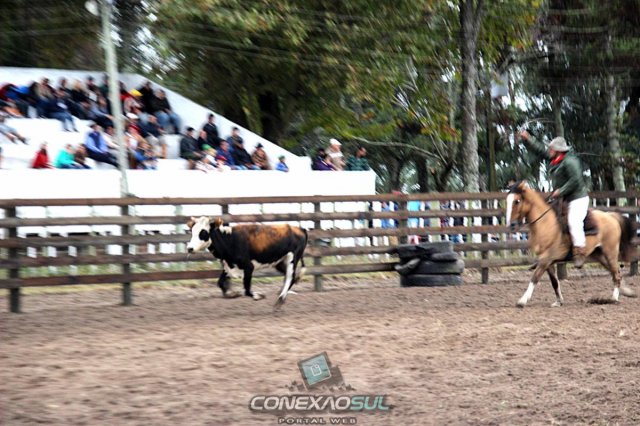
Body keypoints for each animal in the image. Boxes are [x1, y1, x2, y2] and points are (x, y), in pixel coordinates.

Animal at [506, 181, 636, 307]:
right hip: (599, 255)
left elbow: (534, 278)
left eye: (517, 201)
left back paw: (614, 298)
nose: (510, 225)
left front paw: (522, 301)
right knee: (615, 273)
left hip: (610, 253)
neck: (546, 224)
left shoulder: (545, 260)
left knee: (616, 273)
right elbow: (554, 282)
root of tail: (610, 216)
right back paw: (626, 292)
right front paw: (559, 301)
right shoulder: (548, 263)